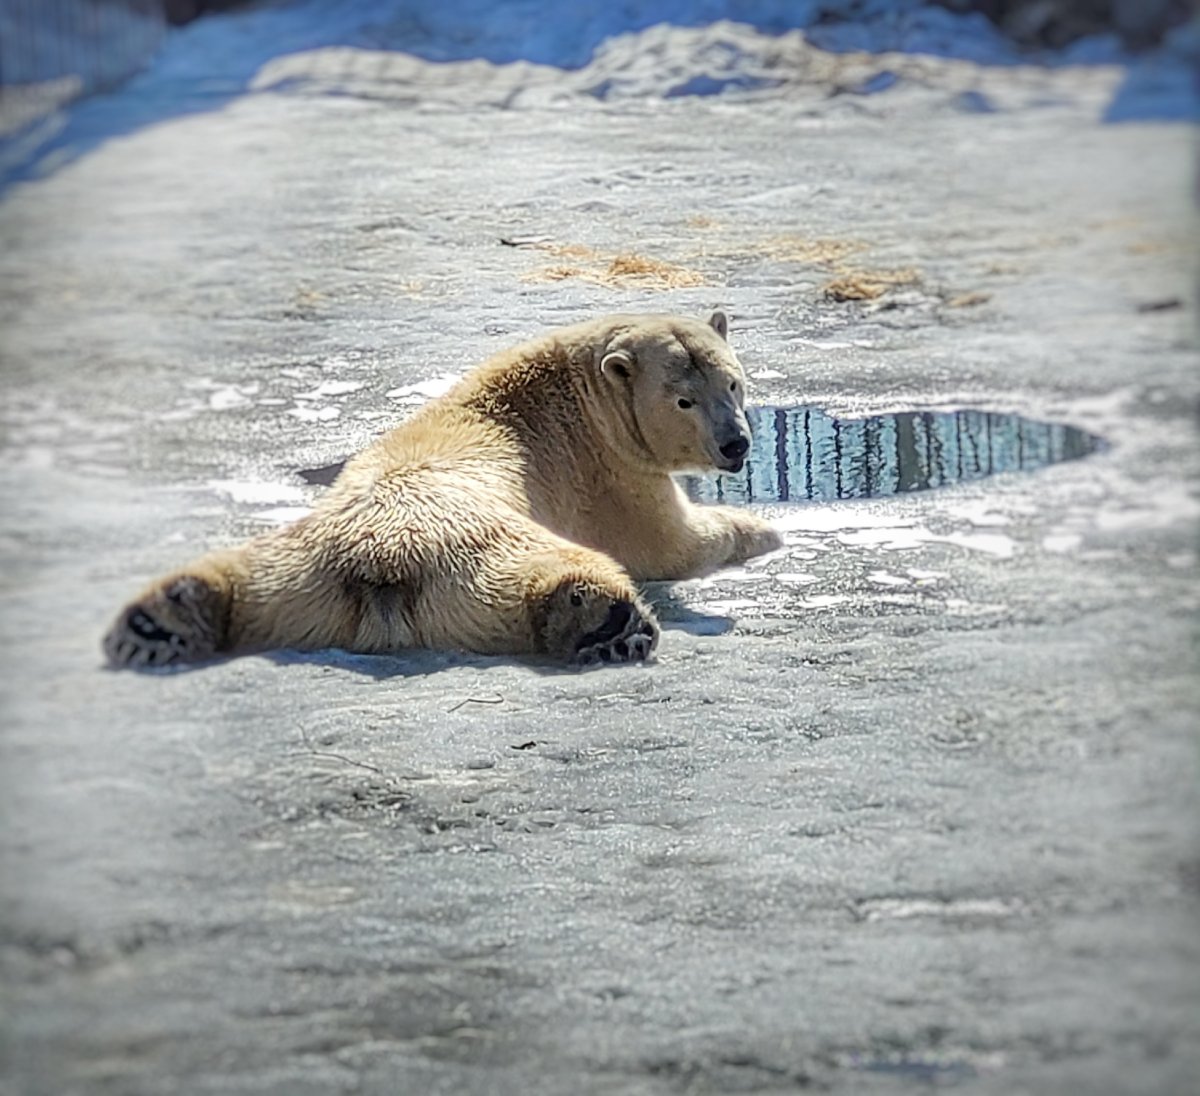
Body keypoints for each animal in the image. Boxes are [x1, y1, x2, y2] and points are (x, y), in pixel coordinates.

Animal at [103, 311, 782, 669]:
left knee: (241, 577)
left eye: (734, 383)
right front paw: (766, 530)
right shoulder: (607, 471)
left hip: (292, 566)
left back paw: (160, 618)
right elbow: (666, 543)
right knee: (548, 571)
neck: (574, 390)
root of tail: (377, 567)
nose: (737, 445)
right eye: (685, 399)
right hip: (480, 546)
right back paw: (603, 620)